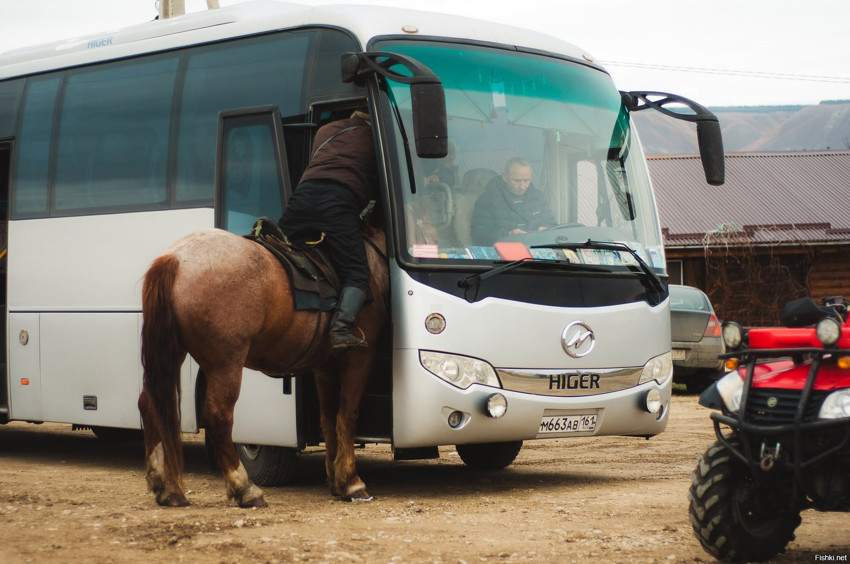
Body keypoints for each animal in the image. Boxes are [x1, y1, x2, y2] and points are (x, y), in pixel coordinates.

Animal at [137, 224, 388, 506]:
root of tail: (176, 258)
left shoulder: (325, 367)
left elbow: (329, 417)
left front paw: (336, 480)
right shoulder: (359, 359)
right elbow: (348, 414)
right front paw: (353, 483)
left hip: (171, 352)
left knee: (150, 405)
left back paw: (165, 487)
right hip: (226, 362)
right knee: (217, 416)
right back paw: (245, 488)